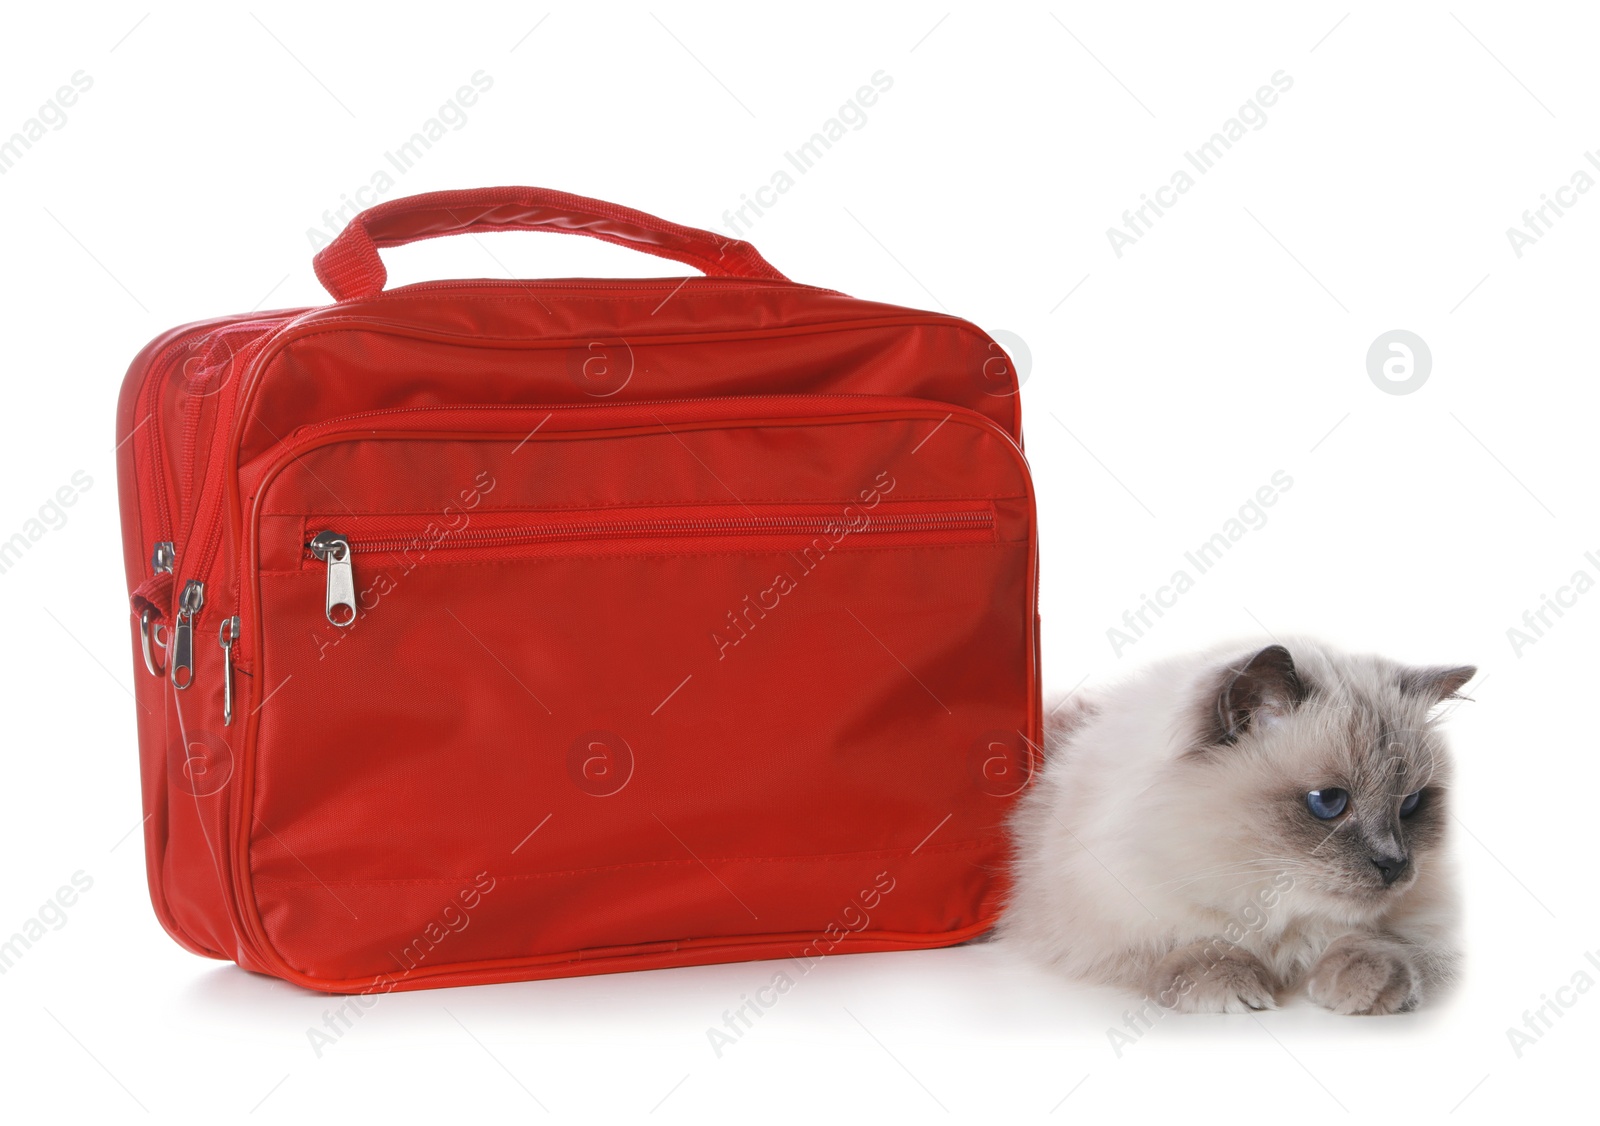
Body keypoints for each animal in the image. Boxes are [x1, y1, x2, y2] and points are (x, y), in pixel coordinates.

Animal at [998, 636, 1472, 1017]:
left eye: (1410, 805)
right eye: (1329, 802)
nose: (1394, 863)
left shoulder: (1423, 924)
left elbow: (1374, 941)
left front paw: (1371, 986)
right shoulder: (1114, 918)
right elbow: (1193, 942)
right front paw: (1232, 991)